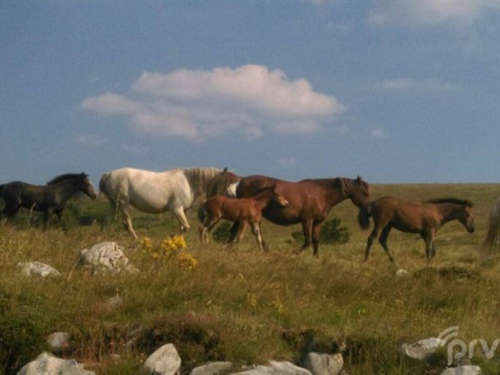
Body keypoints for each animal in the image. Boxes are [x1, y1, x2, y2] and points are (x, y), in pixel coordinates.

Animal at [225, 176, 370, 258]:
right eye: (364, 192)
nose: (367, 209)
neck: (321, 194)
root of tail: (240, 181)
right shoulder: (307, 220)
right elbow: (308, 241)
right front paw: (292, 253)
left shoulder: (317, 222)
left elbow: (316, 240)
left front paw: (316, 257)